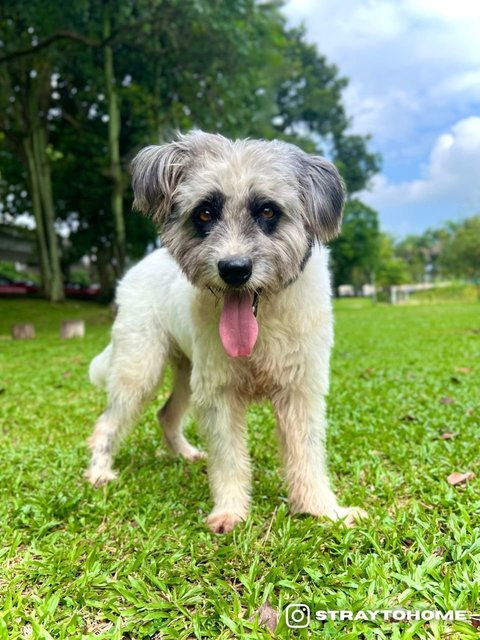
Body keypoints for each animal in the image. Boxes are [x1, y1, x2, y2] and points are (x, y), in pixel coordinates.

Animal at [86, 129, 366, 528]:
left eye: (268, 211)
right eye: (205, 212)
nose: (234, 269)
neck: (262, 326)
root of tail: (137, 268)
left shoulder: (300, 390)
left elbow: (307, 455)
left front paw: (322, 510)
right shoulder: (218, 394)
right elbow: (229, 458)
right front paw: (230, 512)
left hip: (188, 375)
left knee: (166, 414)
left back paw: (185, 454)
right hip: (139, 369)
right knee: (108, 423)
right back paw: (99, 471)